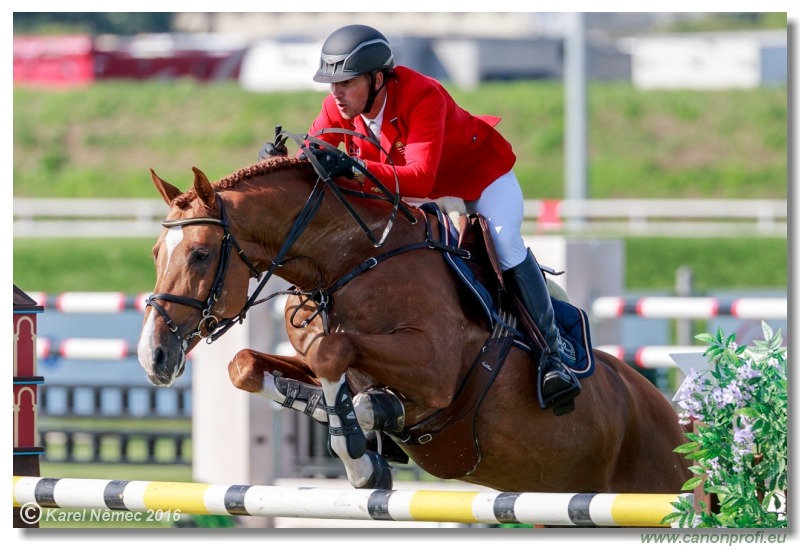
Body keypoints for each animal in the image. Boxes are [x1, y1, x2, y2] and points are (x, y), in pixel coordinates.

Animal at [136, 156, 688, 496]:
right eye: (156, 252)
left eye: (201, 254)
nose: (153, 356)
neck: (351, 261)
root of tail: (675, 417)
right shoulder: (326, 352)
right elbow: (247, 365)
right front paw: (364, 426)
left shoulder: (435, 368)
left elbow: (335, 357)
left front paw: (363, 451)